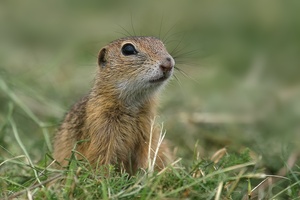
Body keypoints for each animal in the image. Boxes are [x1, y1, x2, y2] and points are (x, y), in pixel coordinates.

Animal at [53, 36, 175, 174]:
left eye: (162, 45)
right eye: (128, 49)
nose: (168, 63)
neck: (133, 105)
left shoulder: (148, 131)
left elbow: (148, 152)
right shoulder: (102, 130)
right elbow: (101, 159)